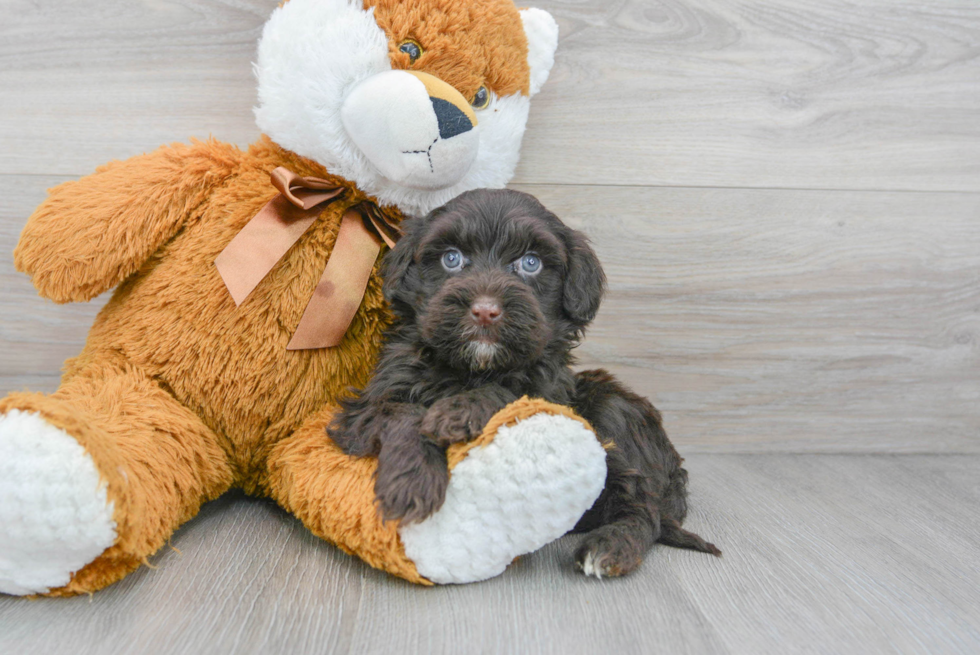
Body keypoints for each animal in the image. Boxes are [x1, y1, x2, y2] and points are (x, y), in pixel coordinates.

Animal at [330, 187, 720, 576]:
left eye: (530, 263)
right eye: (451, 259)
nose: (485, 311)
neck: (473, 368)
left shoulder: (550, 392)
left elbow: (510, 392)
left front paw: (459, 411)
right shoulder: (368, 404)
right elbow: (402, 415)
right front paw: (412, 481)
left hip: (613, 408)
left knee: (643, 505)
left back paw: (610, 547)